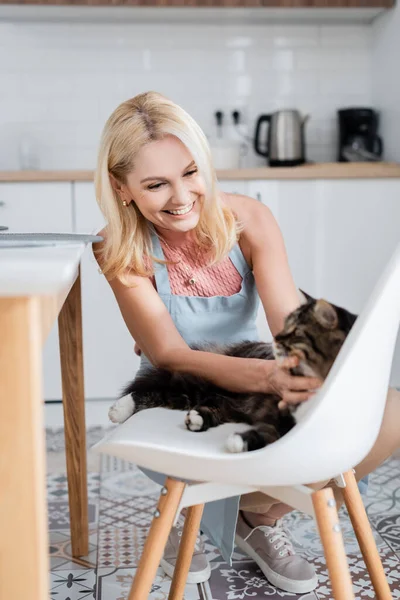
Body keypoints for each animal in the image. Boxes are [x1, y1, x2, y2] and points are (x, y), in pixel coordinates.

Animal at [108, 292, 356, 452]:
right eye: (285, 324)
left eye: (295, 332)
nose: (275, 338)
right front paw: (237, 442)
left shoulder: (286, 425)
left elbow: (267, 436)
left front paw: (238, 442)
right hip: (201, 386)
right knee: (155, 391)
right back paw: (118, 410)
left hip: (220, 401)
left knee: (208, 406)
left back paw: (196, 419)